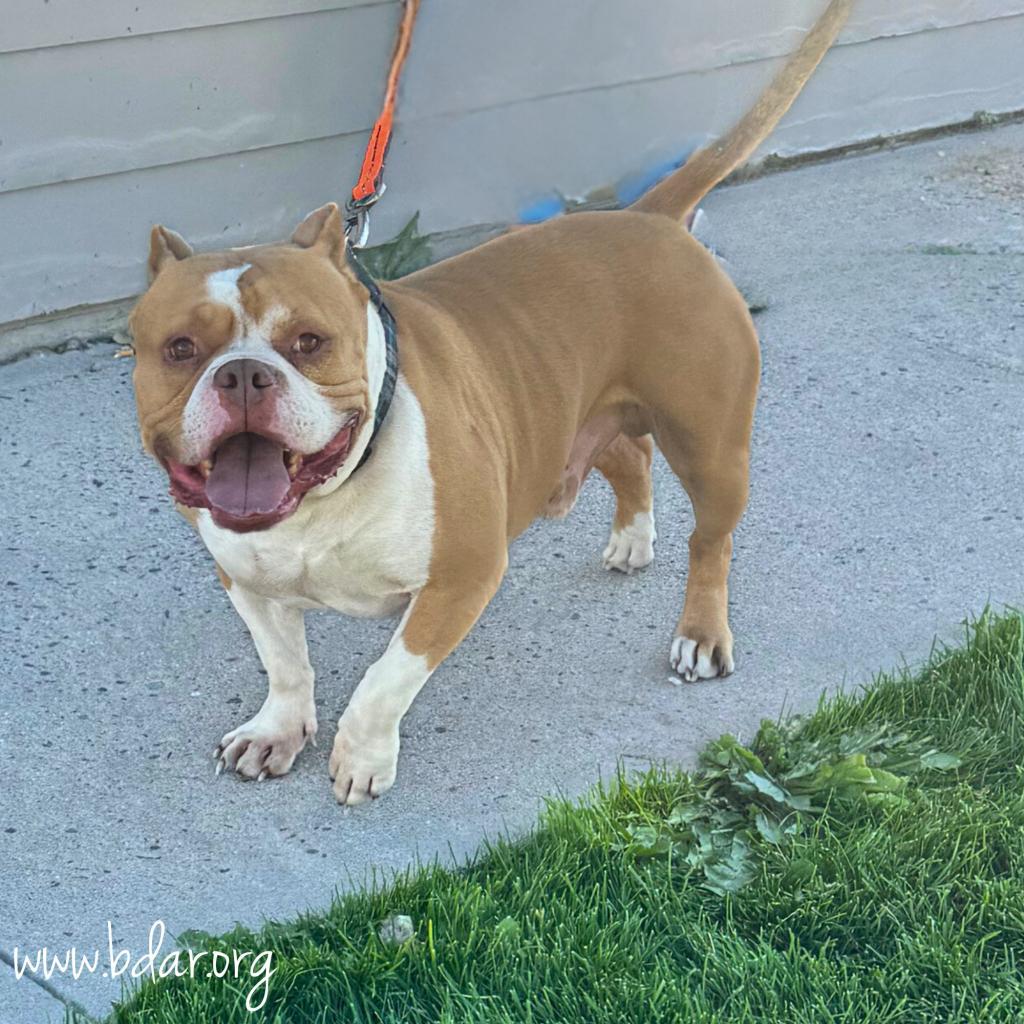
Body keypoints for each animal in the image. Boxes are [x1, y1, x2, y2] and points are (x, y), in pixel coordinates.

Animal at [130, 2, 847, 806]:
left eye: (310, 341)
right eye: (180, 348)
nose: (244, 375)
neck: (328, 495)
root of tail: (651, 216)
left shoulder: (463, 574)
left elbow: (385, 678)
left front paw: (362, 756)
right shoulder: (247, 582)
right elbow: (286, 664)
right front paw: (277, 730)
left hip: (711, 446)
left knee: (711, 540)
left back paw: (700, 633)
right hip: (580, 412)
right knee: (629, 453)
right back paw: (631, 539)